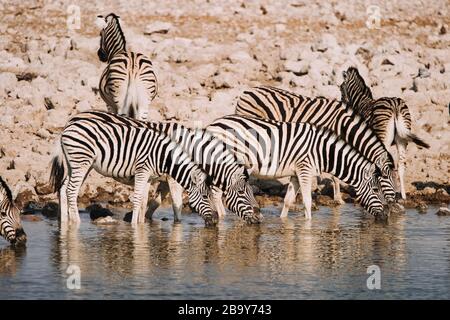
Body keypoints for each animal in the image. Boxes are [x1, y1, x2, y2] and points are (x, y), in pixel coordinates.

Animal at [63, 111, 260, 224]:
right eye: (242, 193)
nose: (258, 219)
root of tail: (74, 118)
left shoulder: (165, 177)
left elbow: (153, 202)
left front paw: (142, 220)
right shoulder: (174, 177)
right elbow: (176, 206)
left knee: (64, 189)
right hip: (82, 162)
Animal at [207, 115, 386, 220]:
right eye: (376, 190)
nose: (386, 215)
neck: (322, 152)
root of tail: (213, 124)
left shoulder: (295, 174)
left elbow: (287, 201)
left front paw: (283, 222)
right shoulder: (305, 170)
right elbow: (307, 201)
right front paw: (308, 227)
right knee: (216, 192)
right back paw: (223, 218)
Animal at [234, 85, 396, 209]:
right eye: (385, 176)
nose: (394, 200)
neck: (343, 125)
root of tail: (248, 91)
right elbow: (333, 175)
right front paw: (337, 198)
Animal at [340, 66, 430, 199]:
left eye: (341, 88)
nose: (342, 103)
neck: (361, 102)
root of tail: (395, 106)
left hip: (384, 138)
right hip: (402, 139)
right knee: (401, 166)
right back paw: (403, 196)